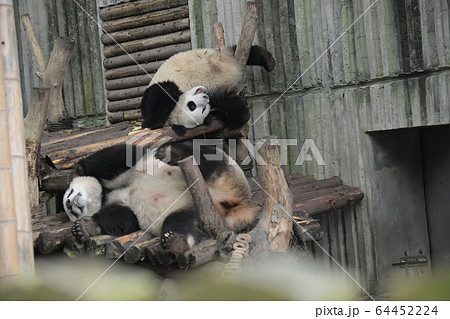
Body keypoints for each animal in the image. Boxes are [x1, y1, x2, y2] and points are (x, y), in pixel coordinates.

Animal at [64, 142, 258, 258]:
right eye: (72, 211)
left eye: (70, 193)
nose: (72, 202)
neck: (105, 194)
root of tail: (236, 204)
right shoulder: (120, 204)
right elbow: (126, 220)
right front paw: (84, 228)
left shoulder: (130, 168)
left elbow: (120, 155)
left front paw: (78, 169)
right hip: (197, 212)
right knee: (181, 222)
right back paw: (175, 241)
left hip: (226, 173)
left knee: (206, 157)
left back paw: (172, 154)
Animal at [140, 45, 274, 135]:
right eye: (202, 110)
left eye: (191, 105)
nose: (204, 97)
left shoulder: (165, 88)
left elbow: (159, 99)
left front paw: (149, 123)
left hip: (216, 54)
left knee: (234, 49)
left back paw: (269, 62)